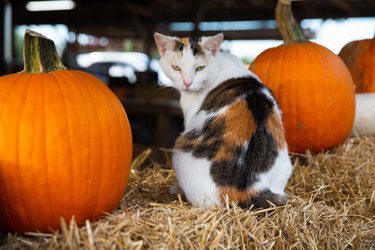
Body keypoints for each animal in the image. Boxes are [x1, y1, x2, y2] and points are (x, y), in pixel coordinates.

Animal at [154, 33, 292, 209]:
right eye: (176, 68)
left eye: (200, 68)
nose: (187, 83)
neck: (220, 63)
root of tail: (250, 188)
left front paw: (174, 188)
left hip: (179, 153)